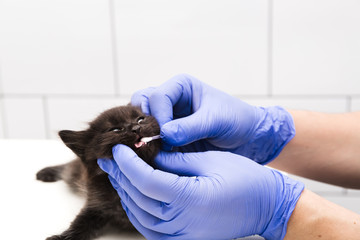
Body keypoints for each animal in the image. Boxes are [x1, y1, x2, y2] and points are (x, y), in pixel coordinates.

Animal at [35, 105, 162, 240]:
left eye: (140, 119)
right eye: (115, 129)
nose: (137, 128)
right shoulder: (96, 205)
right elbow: (79, 224)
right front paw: (61, 237)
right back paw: (45, 172)